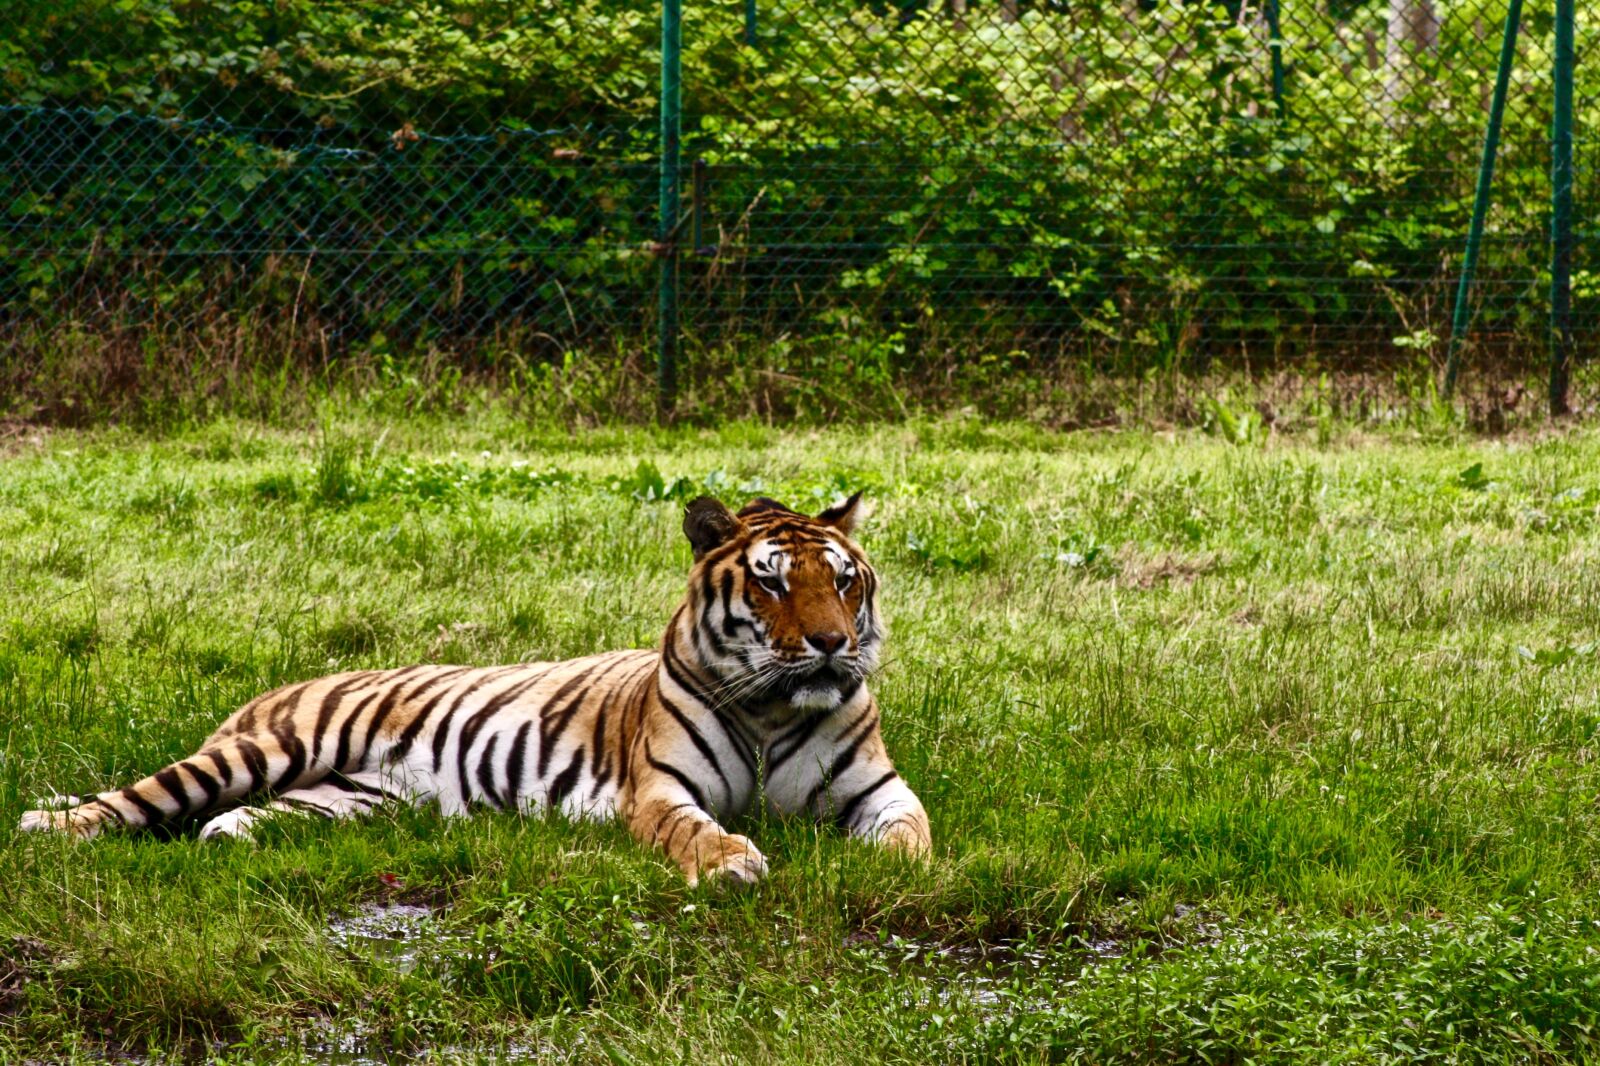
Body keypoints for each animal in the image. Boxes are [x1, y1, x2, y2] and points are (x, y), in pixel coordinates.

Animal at [18, 493, 930, 885]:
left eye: (843, 581)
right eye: (772, 584)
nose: (832, 645)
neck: (776, 711)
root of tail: (265, 695)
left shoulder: (878, 788)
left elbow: (909, 833)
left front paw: (897, 869)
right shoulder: (662, 791)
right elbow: (696, 831)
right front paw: (734, 859)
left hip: (343, 801)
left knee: (229, 821)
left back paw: (229, 838)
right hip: (263, 749)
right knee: (135, 801)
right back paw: (49, 828)